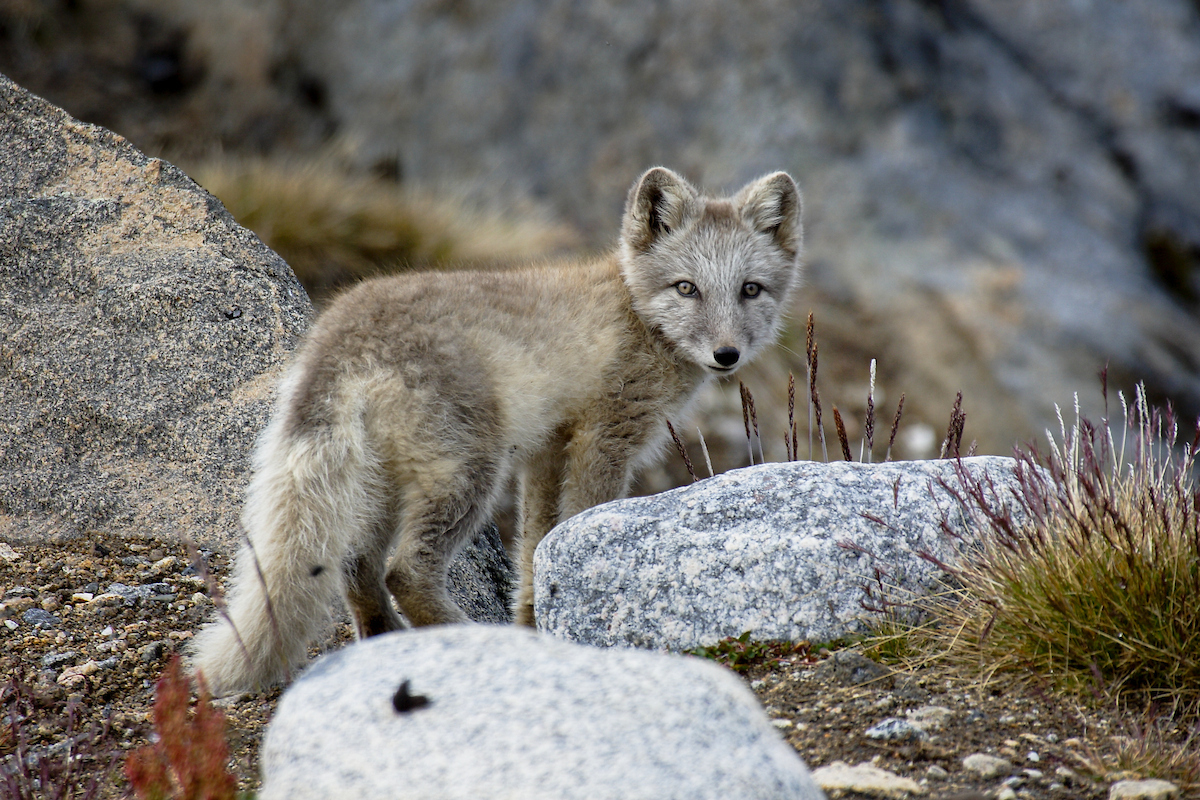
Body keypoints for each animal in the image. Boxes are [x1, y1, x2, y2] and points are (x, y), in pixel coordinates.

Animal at [189, 167, 803, 696]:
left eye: (750, 290)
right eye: (686, 288)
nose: (727, 355)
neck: (632, 309)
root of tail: (341, 332)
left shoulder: (546, 451)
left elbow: (535, 548)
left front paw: (536, 621)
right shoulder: (604, 437)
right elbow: (578, 519)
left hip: (380, 485)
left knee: (357, 568)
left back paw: (388, 643)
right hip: (468, 475)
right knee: (404, 572)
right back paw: (467, 638)